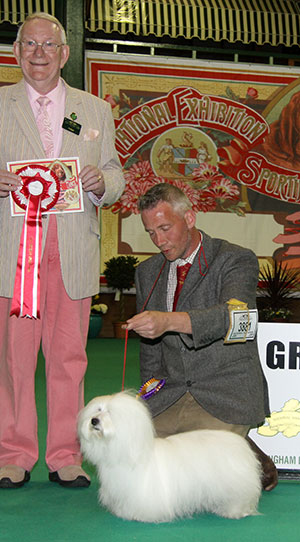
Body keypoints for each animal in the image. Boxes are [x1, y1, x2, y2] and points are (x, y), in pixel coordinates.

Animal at [78, 394, 262, 524]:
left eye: (110, 413)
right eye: (97, 410)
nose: (94, 420)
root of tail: (241, 444)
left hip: (235, 485)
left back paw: (233, 512)